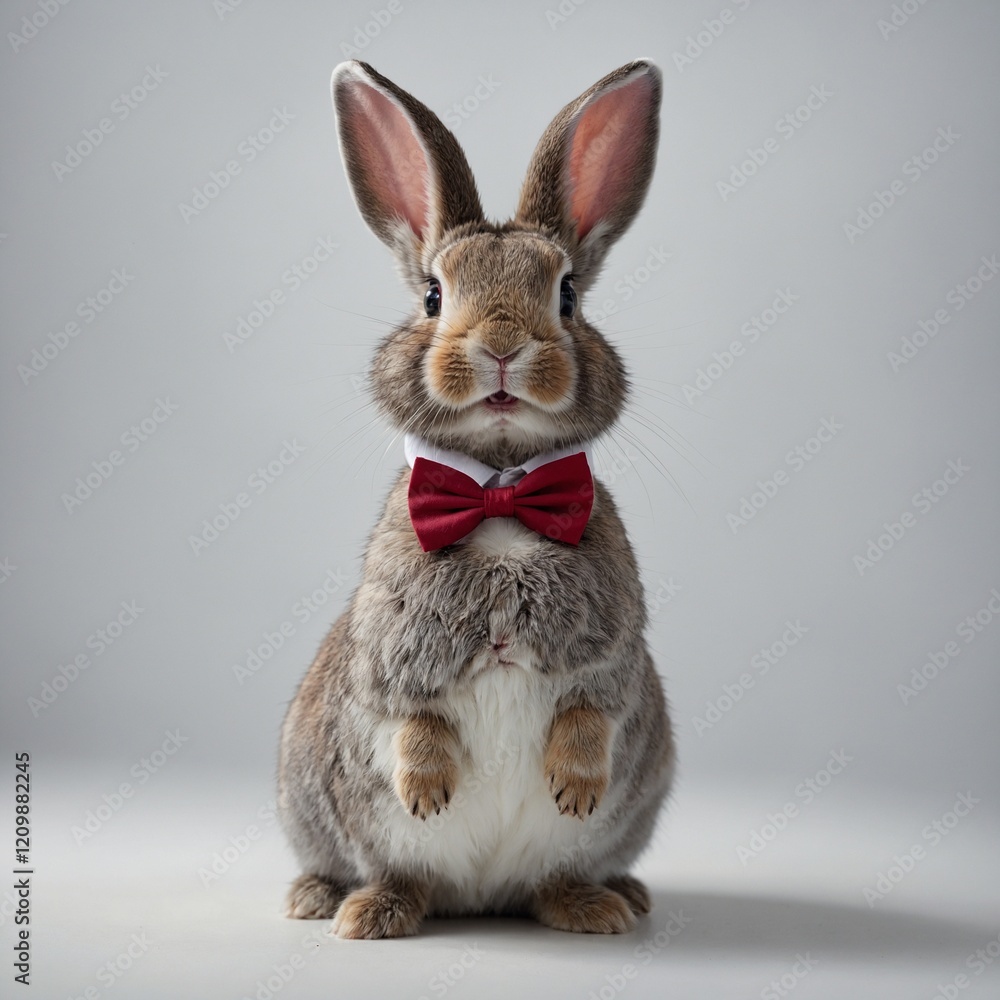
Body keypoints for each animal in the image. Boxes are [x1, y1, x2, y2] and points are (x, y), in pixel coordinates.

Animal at [277, 57, 675, 939]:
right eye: (433, 295)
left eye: (567, 295)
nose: (501, 345)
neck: (498, 492)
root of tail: (481, 898)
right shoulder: (389, 663)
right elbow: (410, 725)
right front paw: (428, 792)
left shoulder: (609, 655)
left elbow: (591, 715)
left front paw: (574, 788)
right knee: (392, 873)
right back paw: (346, 907)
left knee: (555, 879)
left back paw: (606, 904)